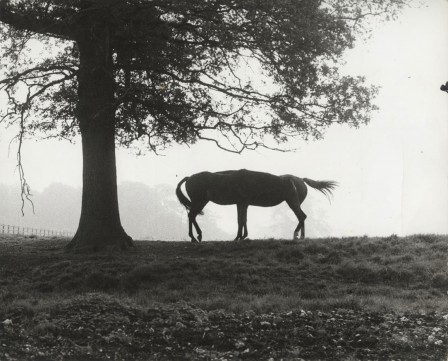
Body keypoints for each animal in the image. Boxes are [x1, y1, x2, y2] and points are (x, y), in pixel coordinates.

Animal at [175, 169, 336, 242]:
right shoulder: (242, 203)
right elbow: (242, 220)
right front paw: (240, 237)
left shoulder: (242, 203)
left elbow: (242, 220)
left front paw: (240, 237)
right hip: (200, 201)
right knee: (192, 215)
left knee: (302, 216)